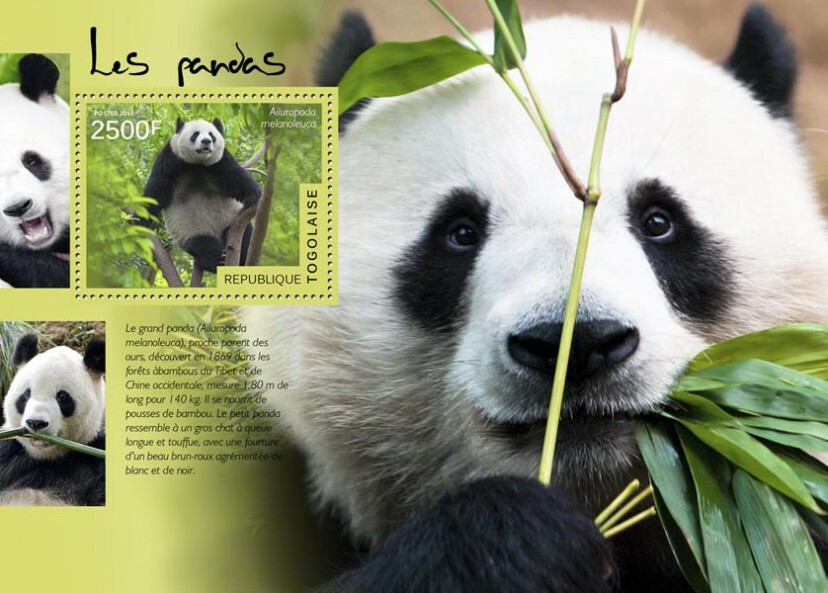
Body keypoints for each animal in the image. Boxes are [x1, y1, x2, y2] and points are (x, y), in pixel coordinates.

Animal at [143, 117, 262, 273]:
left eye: (212, 135)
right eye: (195, 134)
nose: (206, 141)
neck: (197, 163)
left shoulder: (220, 160)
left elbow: (234, 175)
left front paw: (253, 195)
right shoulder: (170, 158)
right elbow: (157, 188)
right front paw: (139, 219)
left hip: (231, 220)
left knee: (245, 236)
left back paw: (240, 259)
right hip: (190, 230)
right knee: (203, 246)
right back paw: (219, 260)